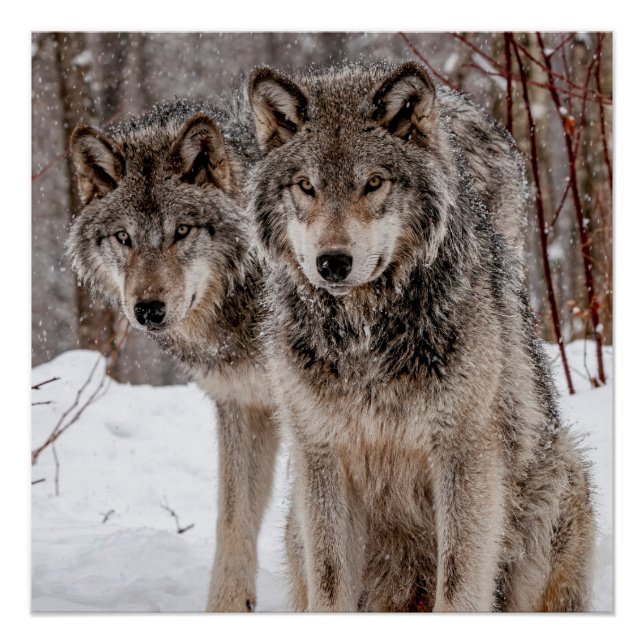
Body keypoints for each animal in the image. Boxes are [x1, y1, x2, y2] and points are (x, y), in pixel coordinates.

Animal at [246, 60, 594, 612]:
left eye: (373, 183)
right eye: (306, 186)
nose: (332, 262)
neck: (365, 335)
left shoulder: (463, 452)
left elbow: (459, 585)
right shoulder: (320, 455)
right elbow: (329, 585)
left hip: (556, 480)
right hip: (297, 522)